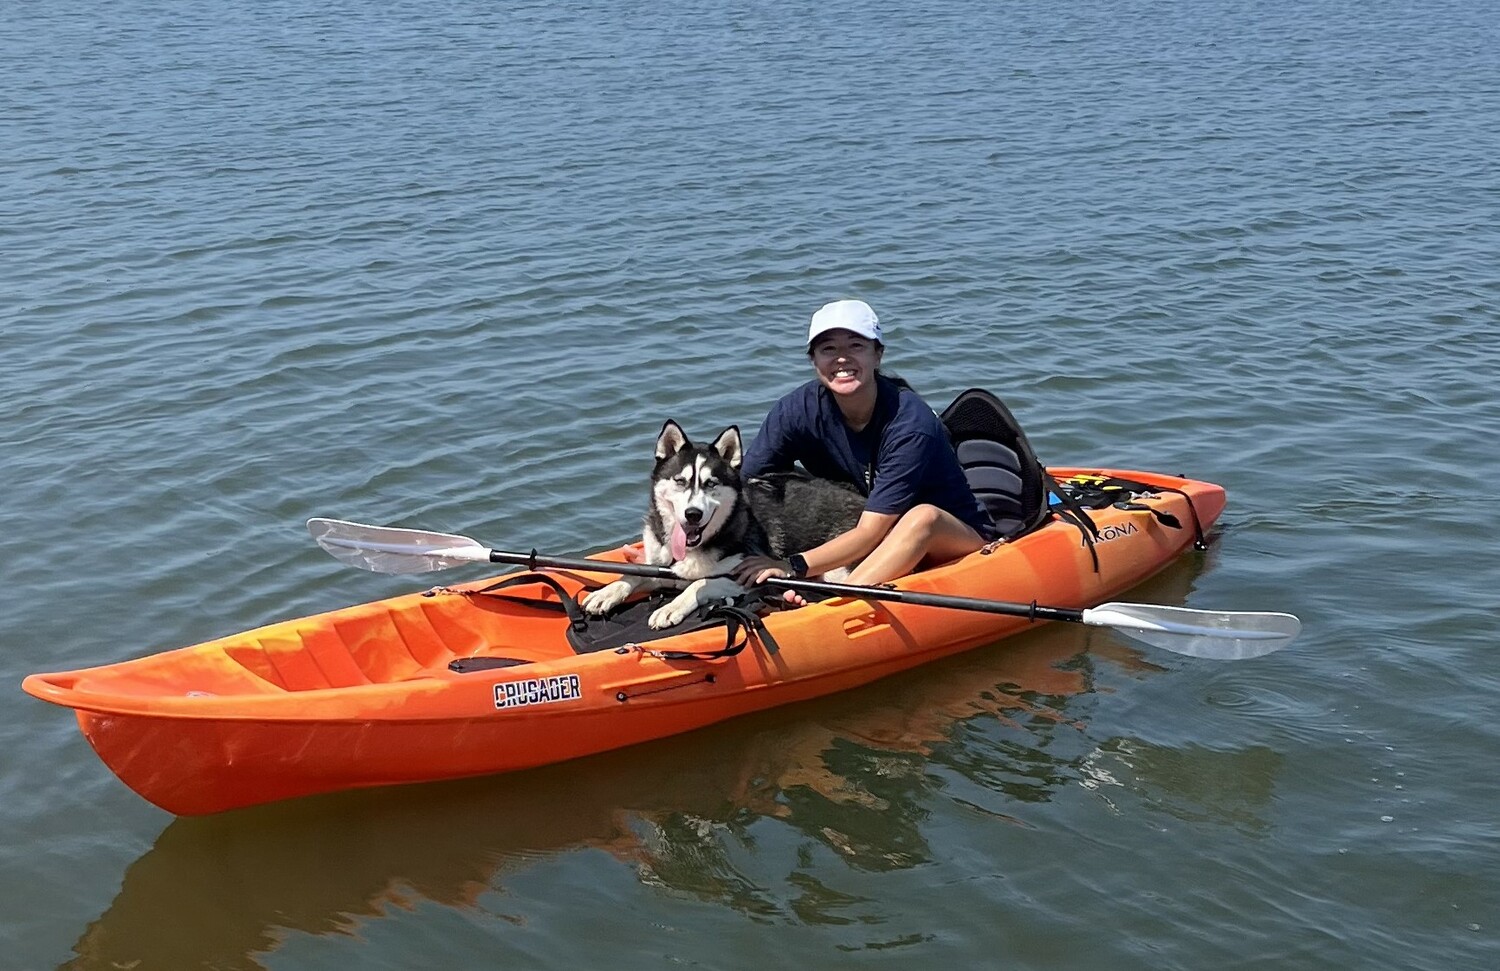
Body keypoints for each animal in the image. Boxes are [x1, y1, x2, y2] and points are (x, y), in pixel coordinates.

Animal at [585, 420, 870, 633]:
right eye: (680, 481)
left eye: (711, 483)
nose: (693, 514)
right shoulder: (663, 564)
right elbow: (635, 573)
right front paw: (607, 592)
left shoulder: (747, 577)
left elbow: (699, 584)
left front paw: (670, 608)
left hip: (837, 568)